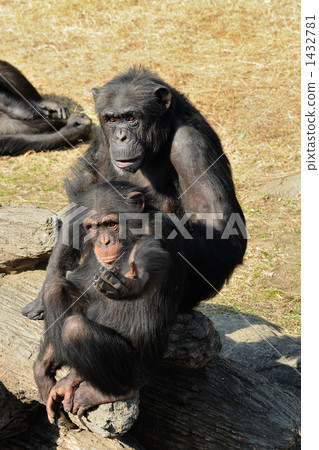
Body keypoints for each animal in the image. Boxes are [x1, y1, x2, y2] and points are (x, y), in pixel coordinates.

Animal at [23, 67, 248, 320]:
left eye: (131, 118)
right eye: (112, 119)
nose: (121, 136)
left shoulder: (191, 147)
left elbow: (222, 231)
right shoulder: (103, 140)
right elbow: (86, 197)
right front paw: (48, 285)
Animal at [34, 180, 190, 426]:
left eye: (111, 224)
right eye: (93, 227)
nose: (104, 241)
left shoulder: (159, 232)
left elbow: (152, 256)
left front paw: (131, 282)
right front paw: (41, 371)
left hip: (136, 371)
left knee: (76, 329)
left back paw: (100, 389)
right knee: (54, 289)